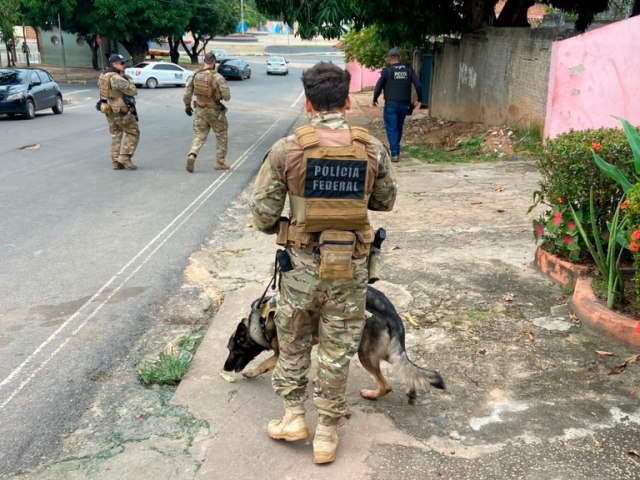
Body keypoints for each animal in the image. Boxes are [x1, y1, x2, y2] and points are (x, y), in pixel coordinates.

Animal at [222, 286, 442, 404]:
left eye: (232, 350)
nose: (225, 367)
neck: (261, 319)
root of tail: (392, 314)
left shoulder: (282, 352)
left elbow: (264, 364)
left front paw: (252, 372)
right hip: (386, 352)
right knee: (406, 368)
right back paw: (411, 391)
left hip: (365, 354)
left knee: (386, 384)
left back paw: (372, 394)